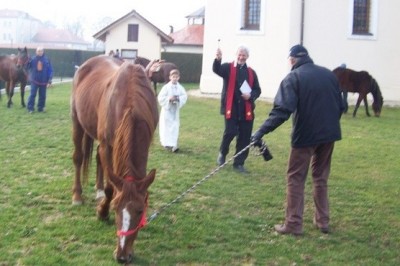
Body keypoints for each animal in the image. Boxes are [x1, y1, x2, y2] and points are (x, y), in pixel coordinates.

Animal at [71, 54, 159, 264]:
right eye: (116, 208)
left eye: (140, 211)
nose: (122, 256)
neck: (130, 102)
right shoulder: (107, 145)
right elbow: (112, 188)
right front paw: (102, 212)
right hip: (77, 120)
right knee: (79, 158)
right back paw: (77, 195)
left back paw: (98, 189)